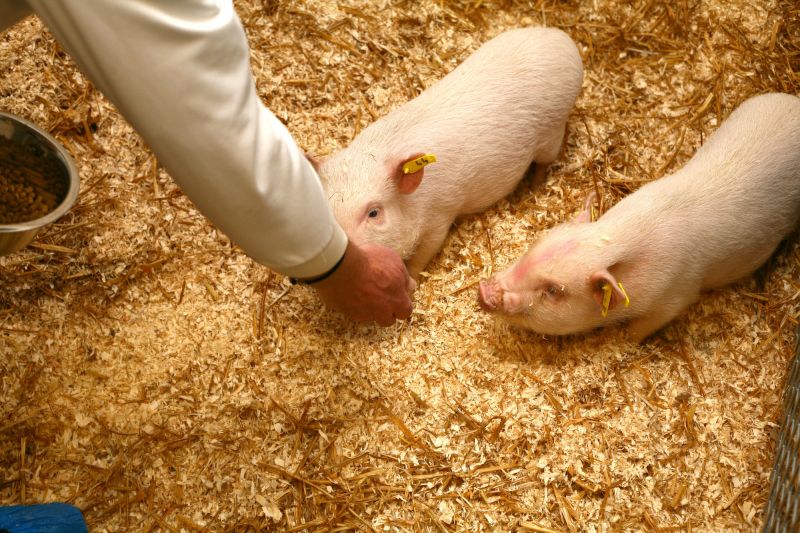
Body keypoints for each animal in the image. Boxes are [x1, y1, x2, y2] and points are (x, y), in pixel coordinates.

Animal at [311, 27, 584, 278]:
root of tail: (563, 40)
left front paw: (412, 280)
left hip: (553, 131)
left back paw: (532, 189)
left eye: (374, 212)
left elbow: (423, 255)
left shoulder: (440, 216)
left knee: (544, 162)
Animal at [478, 92, 800, 342]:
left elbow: (643, 327)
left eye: (554, 291)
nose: (484, 290)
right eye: (533, 247)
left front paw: (626, 341)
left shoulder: (675, 297)